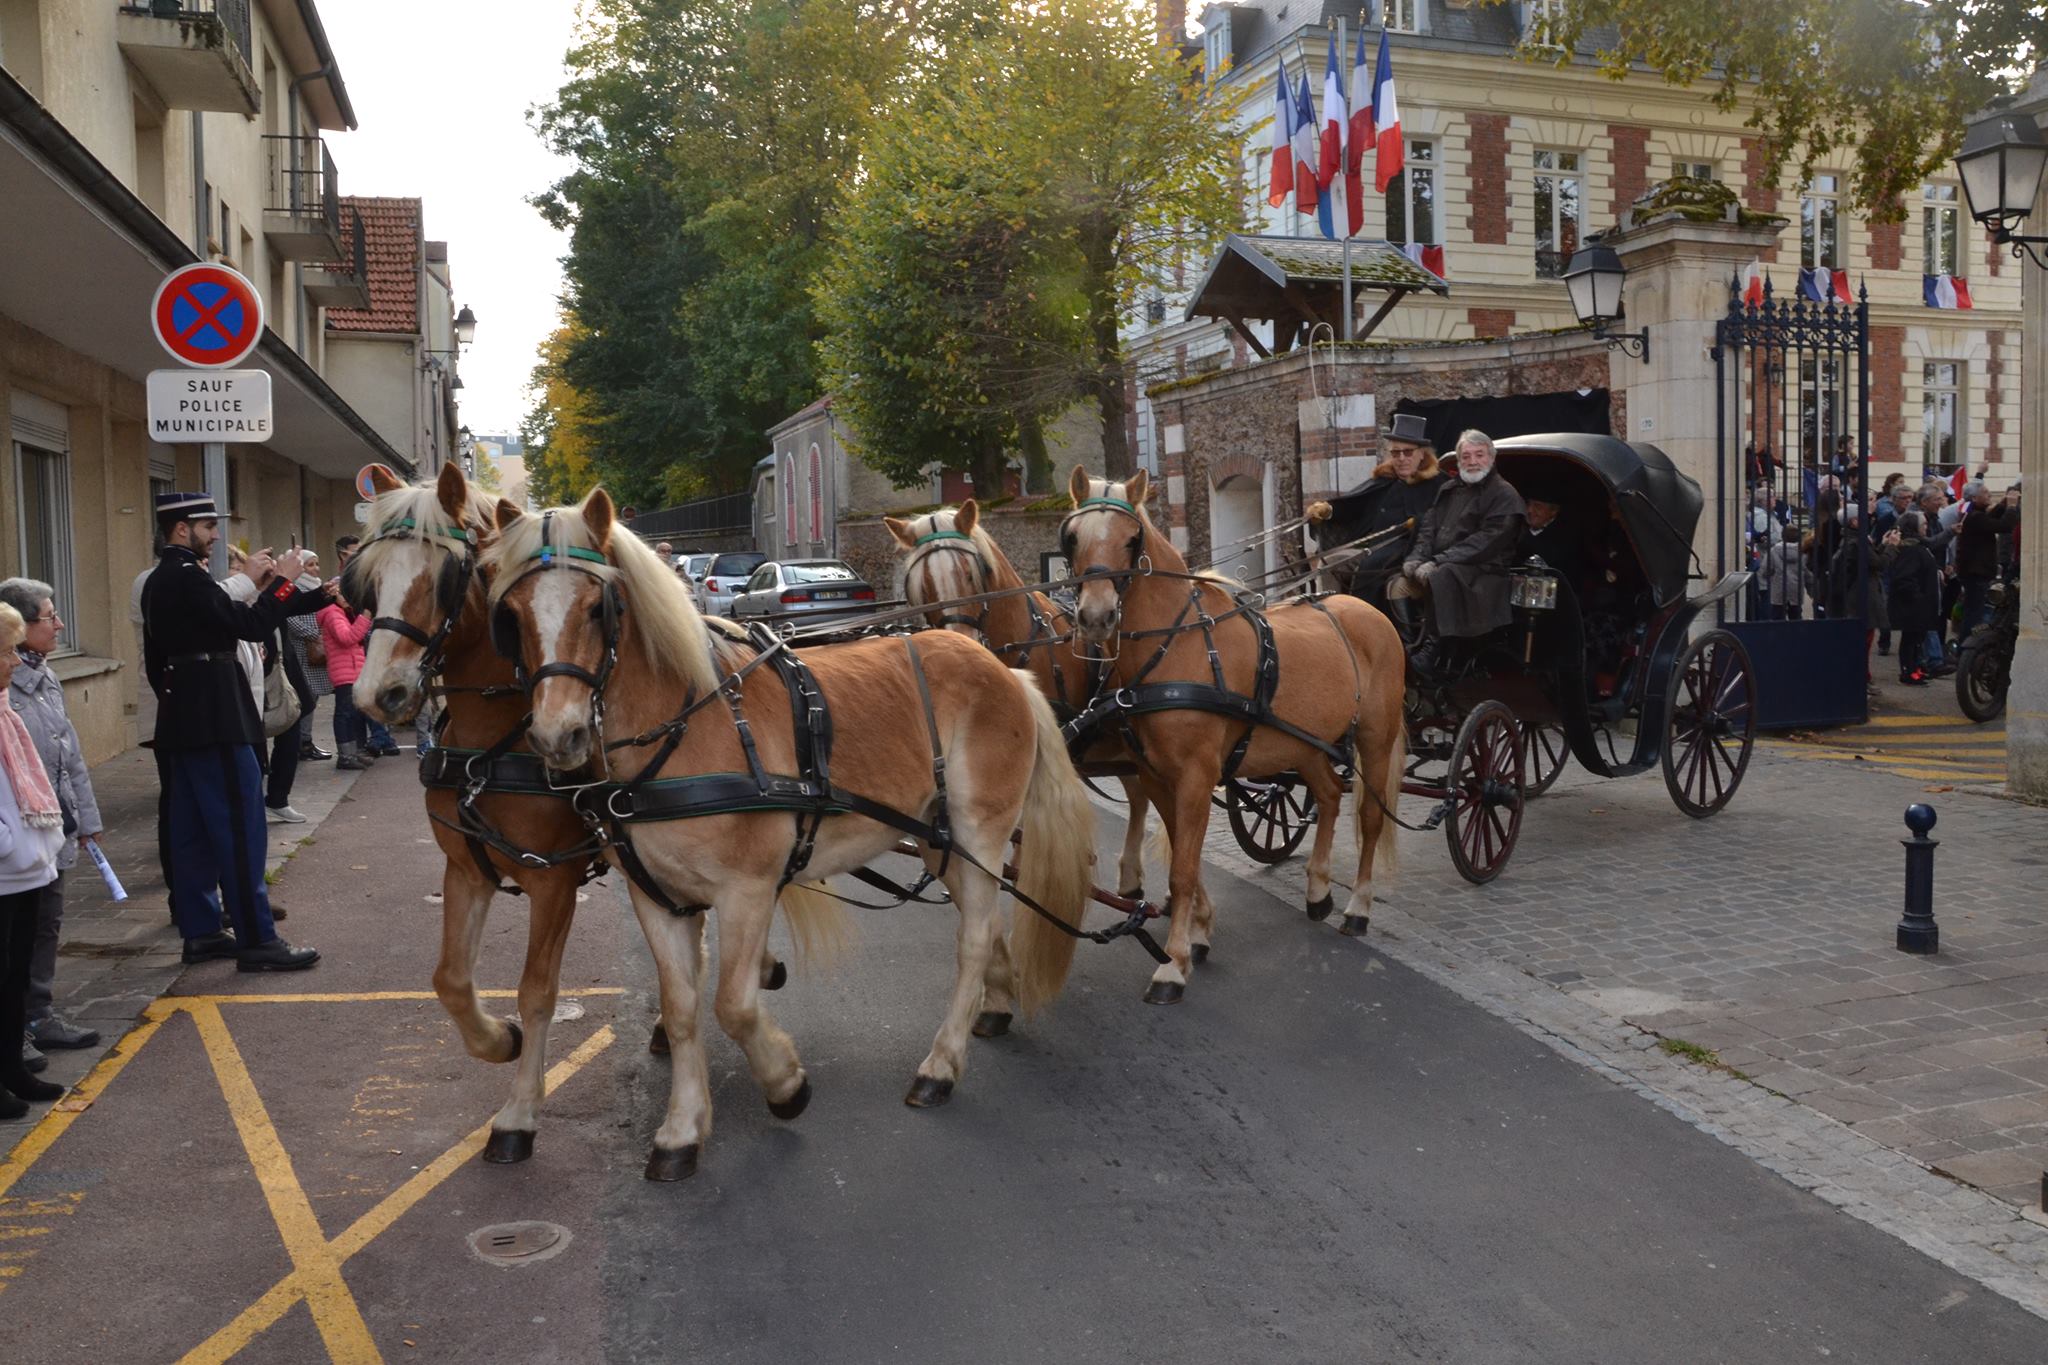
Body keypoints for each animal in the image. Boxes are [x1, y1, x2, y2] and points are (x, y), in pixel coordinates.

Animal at [348, 464, 786, 1162]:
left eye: (446, 577)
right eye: (367, 578)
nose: (377, 695)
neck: (494, 744)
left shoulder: (552, 879)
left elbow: (537, 990)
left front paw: (520, 1113)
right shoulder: (465, 870)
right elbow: (450, 978)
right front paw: (496, 1041)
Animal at [485, 489, 1097, 1178]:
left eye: (598, 608)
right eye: (511, 613)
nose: (556, 735)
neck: (685, 730)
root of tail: (1000, 669)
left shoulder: (747, 892)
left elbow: (733, 1004)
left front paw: (784, 1084)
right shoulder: (658, 899)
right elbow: (682, 1007)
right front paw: (682, 1130)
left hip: (982, 833)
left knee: (972, 938)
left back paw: (940, 1066)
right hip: (939, 841)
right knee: (984, 922)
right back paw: (993, 1004)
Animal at [1056, 470, 1409, 1002]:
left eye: (1132, 539)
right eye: (1073, 537)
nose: (1097, 618)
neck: (1176, 647)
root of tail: (1363, 609)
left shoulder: (1196, 777)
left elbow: (1183, 870)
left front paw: (1173, 964)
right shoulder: (1157, 776)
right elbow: (1185, 856)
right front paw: (1198, 934)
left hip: (1375, 737)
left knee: (1368, 817)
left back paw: (1358, 908)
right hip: (1303, 744)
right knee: (1328, 795)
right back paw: (1319, 890)